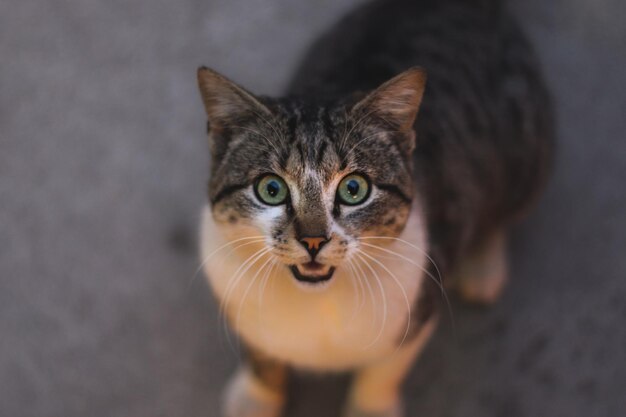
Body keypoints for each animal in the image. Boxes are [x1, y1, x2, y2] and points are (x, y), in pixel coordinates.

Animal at [195, 0, 552, 416]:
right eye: (271, 189)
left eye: (354, 189)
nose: (313, 240)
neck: (317, 303)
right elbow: (261, 354)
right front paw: (255, 396)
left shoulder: (420, 298)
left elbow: (384, 370)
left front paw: (370, 406)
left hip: (526, 148)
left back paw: (483, 264)